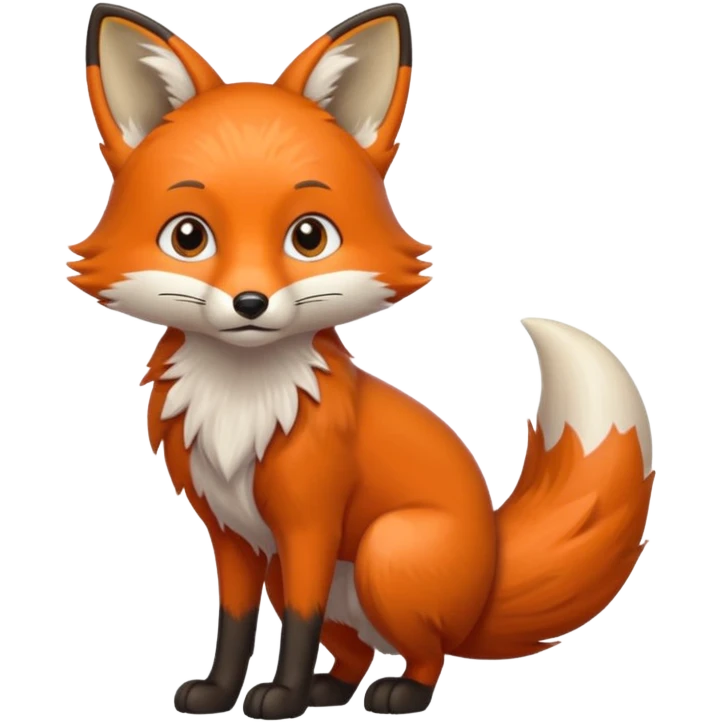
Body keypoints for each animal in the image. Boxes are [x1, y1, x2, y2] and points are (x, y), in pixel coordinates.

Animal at [68, 2, 657, 719]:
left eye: (309, 236)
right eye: (188, 237)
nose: (249, 302)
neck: (243, 405)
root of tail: (488, 576)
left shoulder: (310, 524)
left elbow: (298, 618)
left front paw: (282, 697)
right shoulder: (234, 535)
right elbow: (235, 622)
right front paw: (221, 692)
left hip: (384, 551)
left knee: (430, 653)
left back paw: (398, 693)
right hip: (336, 585)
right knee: (356, 650)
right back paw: (332, 688)